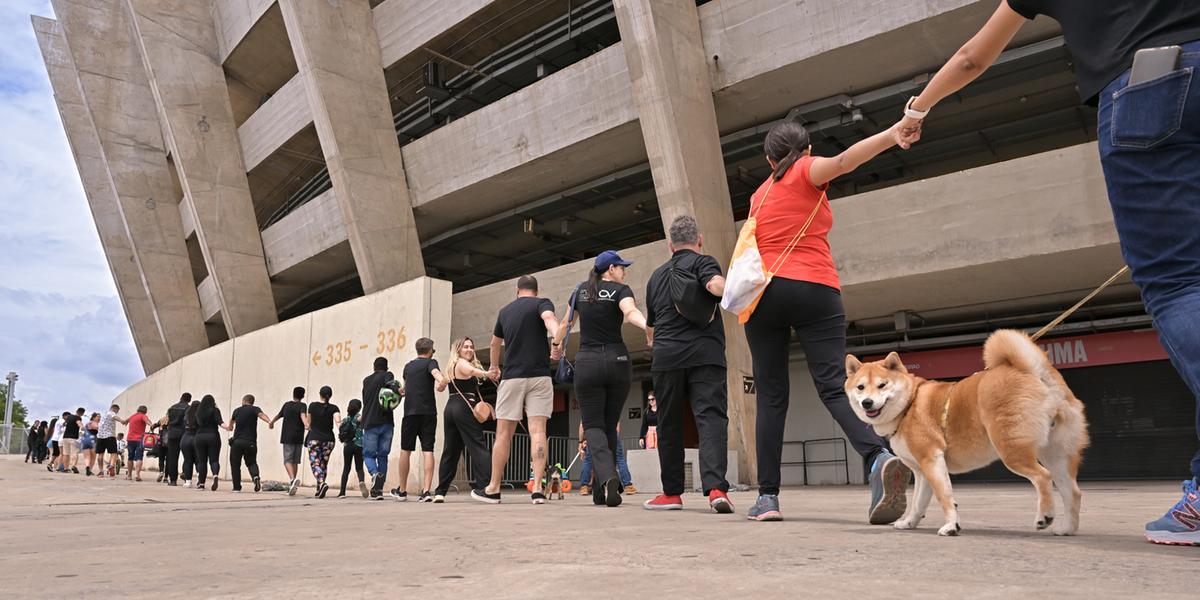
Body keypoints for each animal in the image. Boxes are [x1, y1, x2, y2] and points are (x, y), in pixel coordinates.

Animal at [844, 331, 1089, 537]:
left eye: (882, 385)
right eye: (861, 387)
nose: (867, 403)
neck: (908, 405)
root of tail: (1032, 372)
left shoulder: (932, 459)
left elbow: (945, 496)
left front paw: (951, 526)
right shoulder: (922, 470)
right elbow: (918, 502)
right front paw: (909, 522)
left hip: (1012, 451)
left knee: (1043, 477)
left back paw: (1045, 516)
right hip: (1056, 454)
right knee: (1073, 492)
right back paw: (1067, 529)